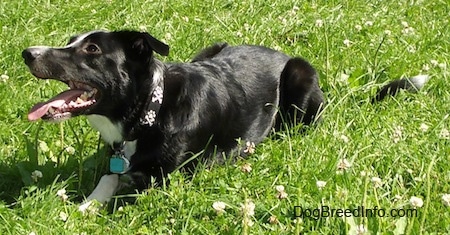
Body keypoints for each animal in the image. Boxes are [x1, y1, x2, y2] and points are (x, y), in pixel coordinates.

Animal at [22, 29, 428, 207]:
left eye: (91, 49)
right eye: (71, 41)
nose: (27, 52)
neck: (151, 109)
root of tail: (279, 52)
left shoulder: (168, 176)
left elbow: (125, 184)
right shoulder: (117, 159)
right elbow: (108, 179)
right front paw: (82, 206)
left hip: (300, 76)